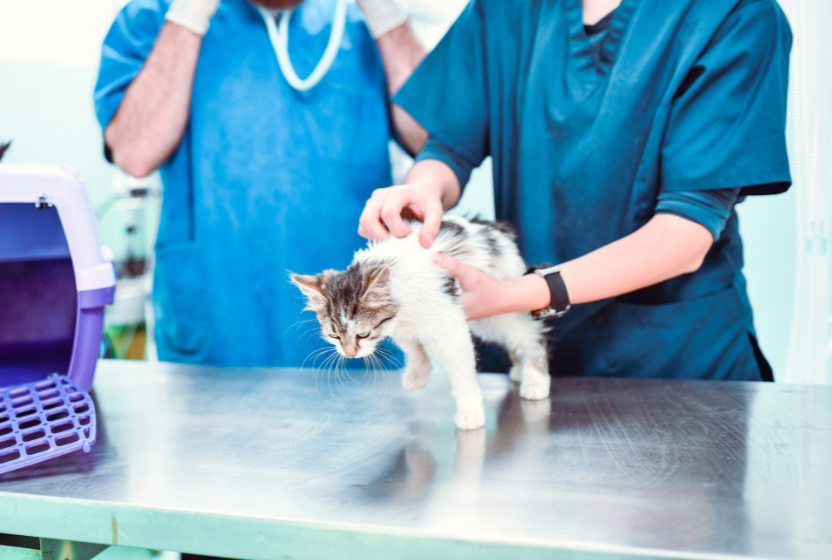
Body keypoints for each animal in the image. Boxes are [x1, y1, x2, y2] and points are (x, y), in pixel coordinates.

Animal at [292, 214, 552, 428]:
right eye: (334, 335)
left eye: (363, 334)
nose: (349, 354)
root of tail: (495, 229)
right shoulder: (398, 325)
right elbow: (412, 347)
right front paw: (419, 373)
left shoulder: (449, 326)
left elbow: (462, 375)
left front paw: (469, 412)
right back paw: (518, 370)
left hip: (501, 312)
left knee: (532, 339)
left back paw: (534, 380)